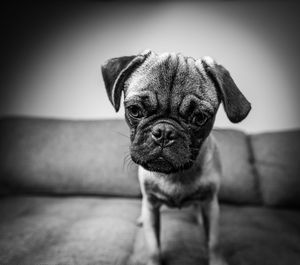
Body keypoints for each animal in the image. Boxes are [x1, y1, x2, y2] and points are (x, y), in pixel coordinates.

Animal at [101, 50, 251, 264]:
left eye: (199, 118)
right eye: (135, 110)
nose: (164, 132)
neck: (176, 174)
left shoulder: (211, 205)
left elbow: (214, 243)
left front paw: (216, 260)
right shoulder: (151, 205)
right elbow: (154, 247)